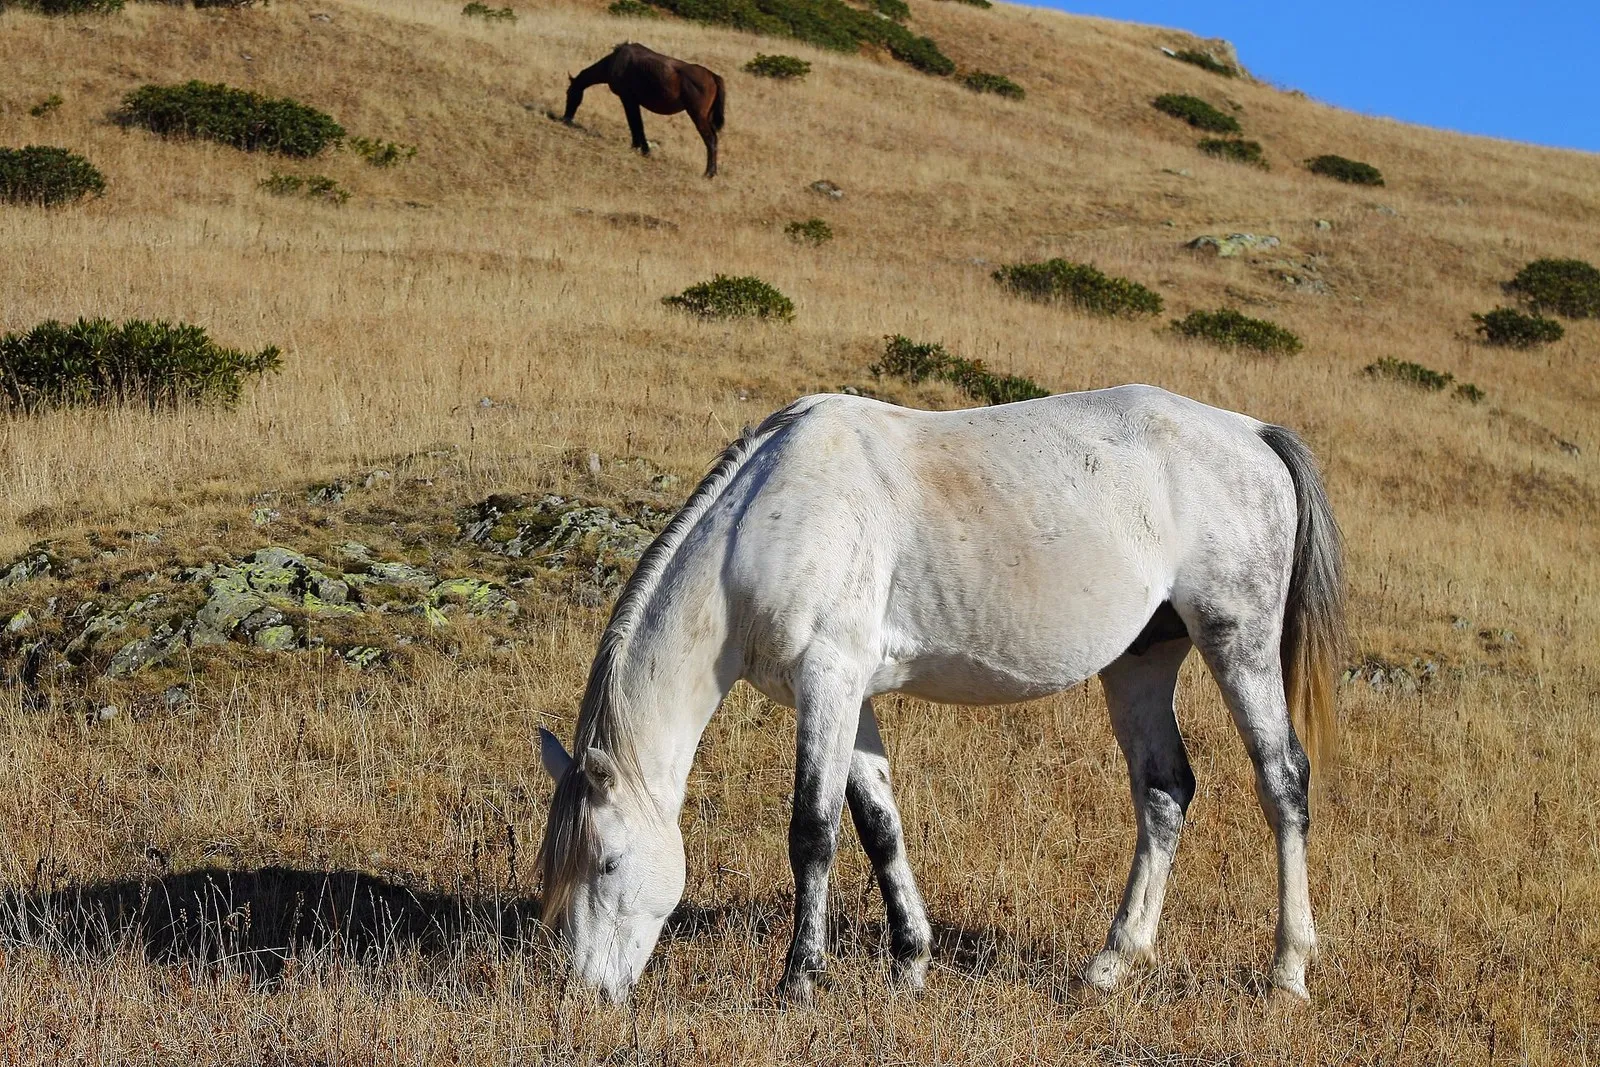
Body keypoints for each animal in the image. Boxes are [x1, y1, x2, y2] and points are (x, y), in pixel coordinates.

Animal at [536, 385, 1346, 1005]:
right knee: (1164, 791)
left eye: (607, 862)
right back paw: (1112, 963)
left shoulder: (828, 680)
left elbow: (813, 832)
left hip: (1238, 643)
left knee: (1282, 782)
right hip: (1141, 663)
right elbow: (879, 827)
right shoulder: (849, 695)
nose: (588, 992)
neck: (763, 521)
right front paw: (910, 963)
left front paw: (799, 981)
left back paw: (1287, 970)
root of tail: (1253, 434)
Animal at [562, 43, 726, 178]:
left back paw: (709, 173)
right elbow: (637, 123)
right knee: (715, 139)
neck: (615, 61)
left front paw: (639, 147)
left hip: (698, 116)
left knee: (710, 140)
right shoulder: (633, 101)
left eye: (569, 93)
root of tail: (713, 76)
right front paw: (643, 148)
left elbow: (635, 123)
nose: (566, 118)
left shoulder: (628, 99)